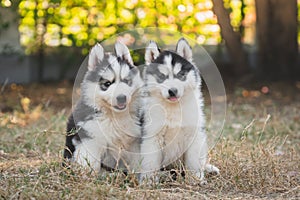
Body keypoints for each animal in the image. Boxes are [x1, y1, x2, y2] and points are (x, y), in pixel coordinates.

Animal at [63, 41, 143, 172]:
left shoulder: (135, 142)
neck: (114, 117)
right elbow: (90, 161)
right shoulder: (91, 139)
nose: (122, 98)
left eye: (127, 81)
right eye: (107, 83)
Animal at [139, 38, 219, 184]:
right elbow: (150, 162)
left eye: (181, 75)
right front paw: (149, 181)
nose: (172, 91)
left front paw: (195, 179)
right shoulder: (152, 137)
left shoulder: (193, 135)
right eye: (161, 76)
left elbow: (193, 161)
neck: (174, 108)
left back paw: (208, 169)